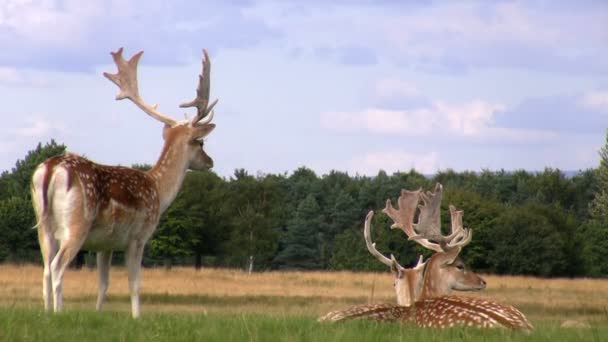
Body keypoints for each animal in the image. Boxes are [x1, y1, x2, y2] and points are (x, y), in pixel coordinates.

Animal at [31, 46, 218, 318]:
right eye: (201, 143)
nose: (210, 161)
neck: (158, 190)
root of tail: (51, 168)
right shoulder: (138, 237)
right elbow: (135, 283)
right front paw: (137, 317)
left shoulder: (105, 245)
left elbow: (104, 283)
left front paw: (98, 314)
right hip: (76, 224)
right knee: (57, 267)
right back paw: (59, 312)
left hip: (43, 223)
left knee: (45, 267)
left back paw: (46, 313)